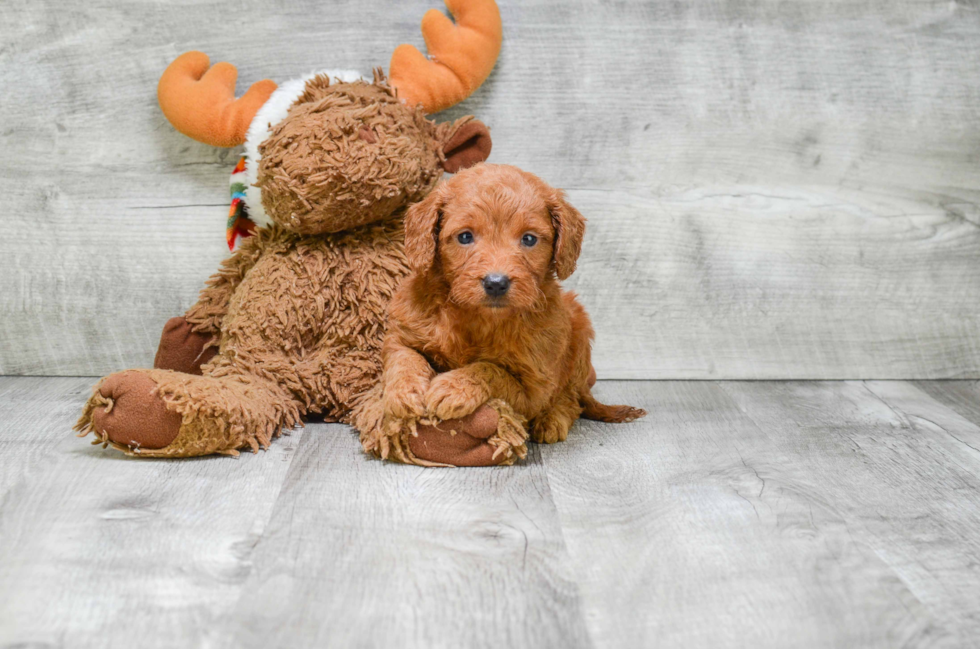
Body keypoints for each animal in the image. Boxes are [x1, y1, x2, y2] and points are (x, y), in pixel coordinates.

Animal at [378, 165, 648, 464]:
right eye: (465, 237)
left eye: (528, 239)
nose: (496, 282)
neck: (478, 318)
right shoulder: (400, 333)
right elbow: (404, 358)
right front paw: (403, 394)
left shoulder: (533, 389)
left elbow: (491, 369)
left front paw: (454, 387)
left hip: (579, 330)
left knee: (572, 397)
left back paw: (553, 419)